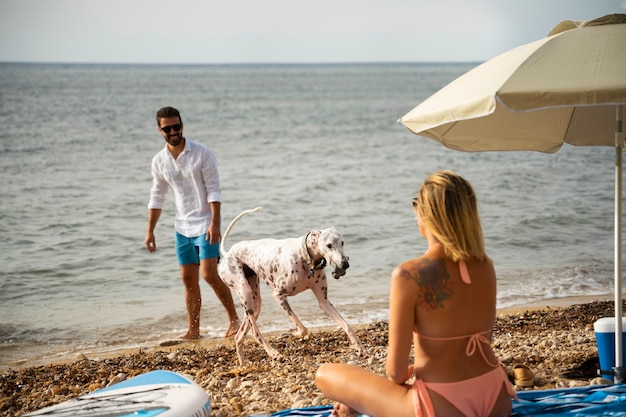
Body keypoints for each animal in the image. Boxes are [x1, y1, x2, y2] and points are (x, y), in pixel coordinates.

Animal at [218, 206, 368, 362]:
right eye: (329, 245)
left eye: (342, 242)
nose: (345, 264)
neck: (305, 256)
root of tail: (227, 253)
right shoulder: (278, 295)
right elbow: (303, 328)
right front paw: (294, 332)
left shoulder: (324, 302)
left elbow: (346, 325)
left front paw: (360, 348)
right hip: (245, 291)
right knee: (254, 331)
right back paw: (272, 352)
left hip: (254, 301)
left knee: (240, 335)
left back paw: (243, 362)